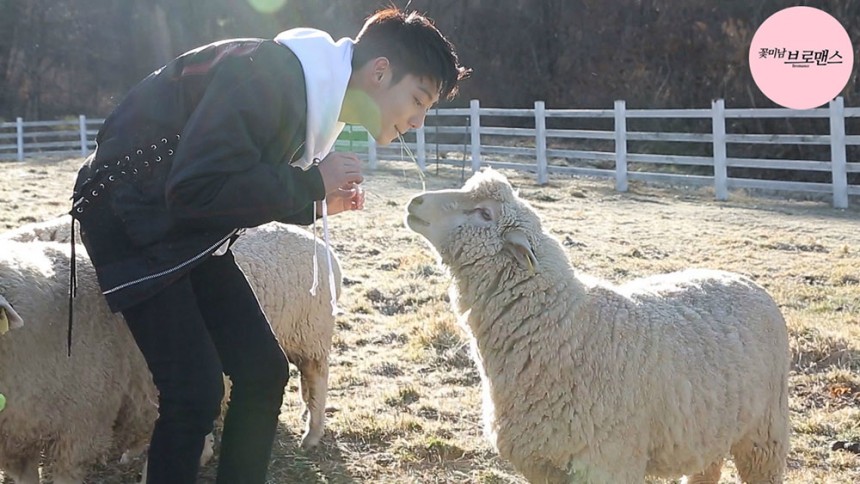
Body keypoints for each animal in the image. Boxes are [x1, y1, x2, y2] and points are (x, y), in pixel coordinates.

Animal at [0, 221, 342, 482]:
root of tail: (320, 245)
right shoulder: (19, 441)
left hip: (310, 334)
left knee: (317, 379)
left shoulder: (78, 432)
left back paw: (312, 435)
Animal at [406, 170, 788, 484]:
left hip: (765, 432)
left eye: (485, 214)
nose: (415, 201)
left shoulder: (608, 461)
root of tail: (742, 279)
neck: (567, 327)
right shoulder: (545, 464)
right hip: (710, 427)